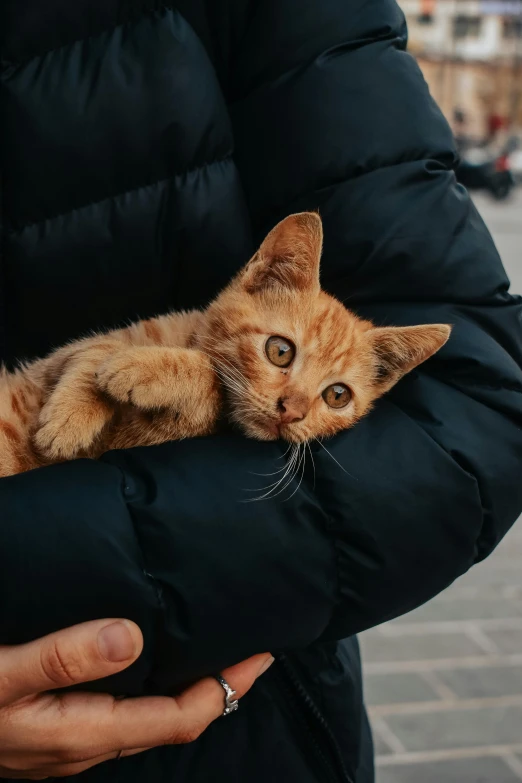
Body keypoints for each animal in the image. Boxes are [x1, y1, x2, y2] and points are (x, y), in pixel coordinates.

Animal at [0, 213, 446, 478]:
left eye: (337, 395)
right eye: (280, 351)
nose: (292, 412)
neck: (185, 339)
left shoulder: (148, 438)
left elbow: (209, 382)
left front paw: (140, 370)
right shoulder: (53, 363)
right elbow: (94, 348)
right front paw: (68, 422)